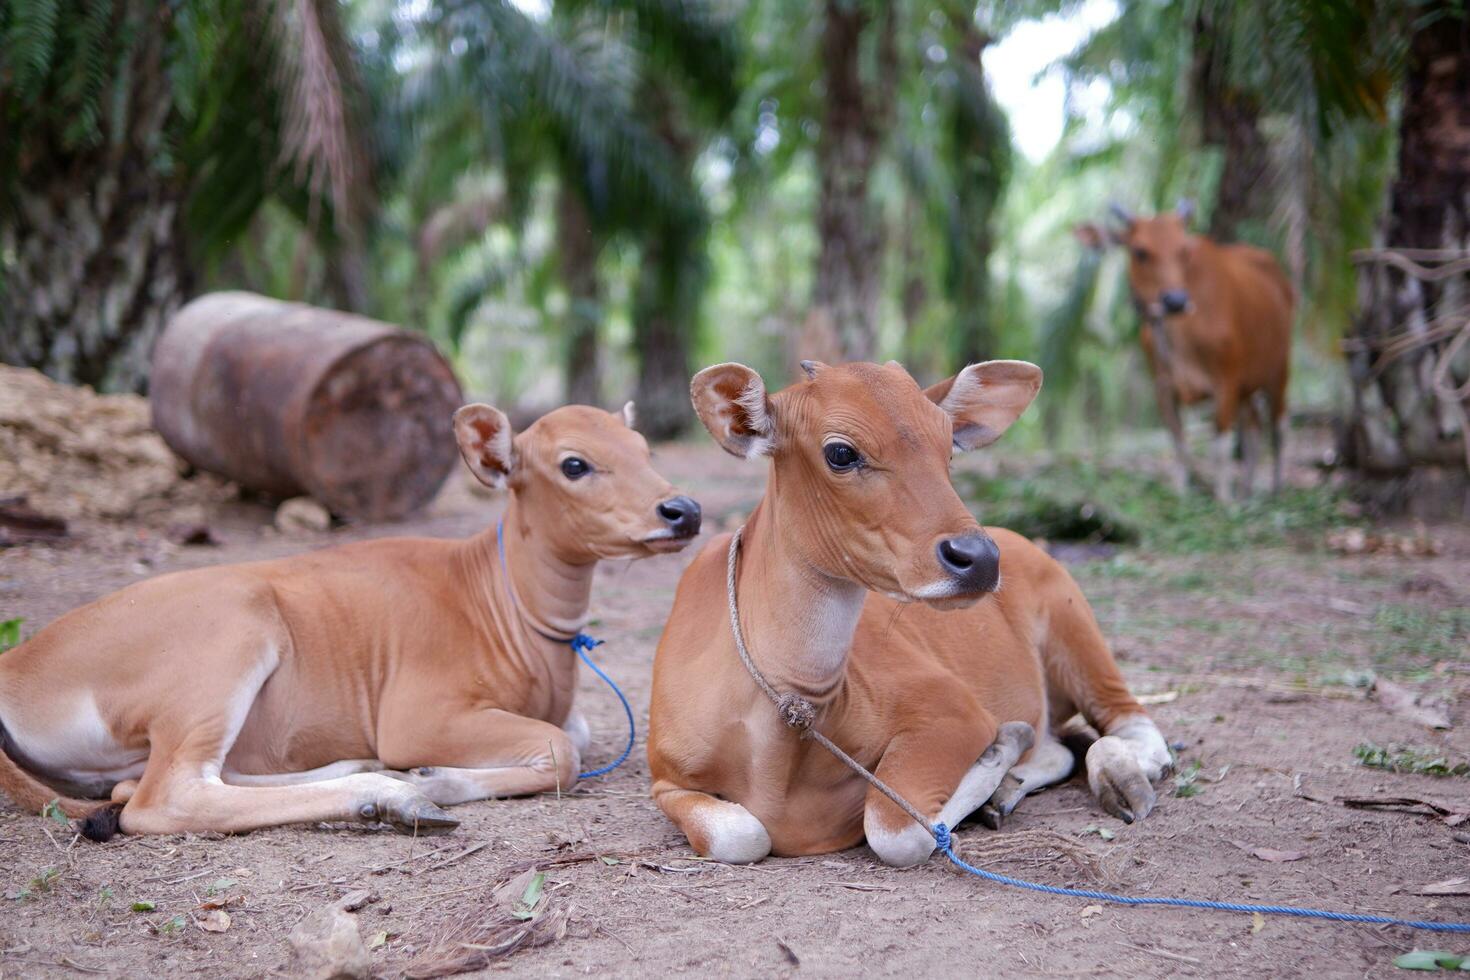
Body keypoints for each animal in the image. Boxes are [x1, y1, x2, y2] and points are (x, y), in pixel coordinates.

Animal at [0, 402, 699, 840]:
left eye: (645, 449)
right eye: (574, 464)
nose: (683, 510)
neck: (508, 612)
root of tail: (15, 666)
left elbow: (572, 731)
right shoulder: (418, 714)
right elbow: (562, 748)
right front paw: (436, 778)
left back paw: (365, 773)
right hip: (228, 643)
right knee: (164, 797)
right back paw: (392, 796)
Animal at [649, 359, 1164, 863]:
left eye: (948, 447)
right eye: (841, 453)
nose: (979, 557)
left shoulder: (953, 710)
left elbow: (895, 829)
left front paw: (999, 747)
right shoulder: (665, 777)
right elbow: (741, 834)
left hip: (1075, 629)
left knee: (1134, 727)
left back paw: (1116, 776)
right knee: (1060, 745)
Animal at [1076, 204, 1293, 502]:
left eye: (1183, 250)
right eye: (1140, 251)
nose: (1175, 301)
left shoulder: (1227, 382)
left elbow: (1220, 447)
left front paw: (1224, 501)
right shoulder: (1164, 388)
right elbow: (1179, 443)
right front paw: (1182, 495)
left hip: (1278, 371)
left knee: (1279, 428)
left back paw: (1276, 491)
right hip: (1247, 387)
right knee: (1253, 427)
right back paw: (1246, 491)